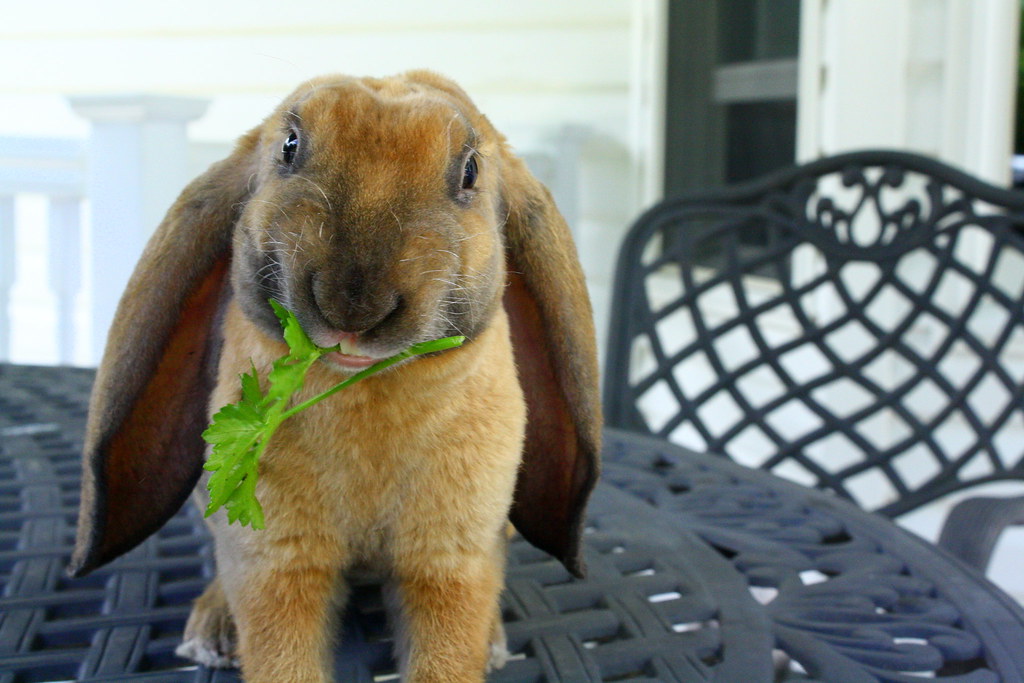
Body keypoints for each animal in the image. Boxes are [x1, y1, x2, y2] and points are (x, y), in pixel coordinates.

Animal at [67, 71, 601, 683]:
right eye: (289, 146)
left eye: (470, 171)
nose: (352, 307)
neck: (364, 390)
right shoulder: (275, 559)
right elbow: (281, 654)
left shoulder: (449, 559)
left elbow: (447, 650)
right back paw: (214, 627)